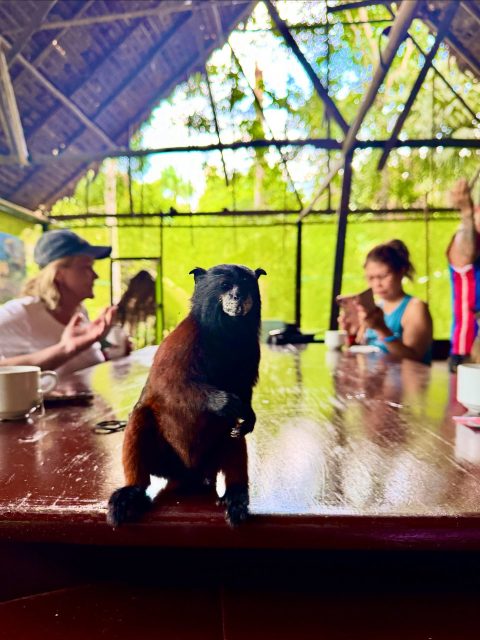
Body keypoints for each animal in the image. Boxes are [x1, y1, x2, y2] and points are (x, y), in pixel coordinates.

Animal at [107, 264, 266, 527]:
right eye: (225, 286)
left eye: (245, 285)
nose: (238, 297)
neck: (226, 335)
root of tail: (191, 473)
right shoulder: (181, 342)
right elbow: (169, 387)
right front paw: (222, 402)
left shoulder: (251, 349)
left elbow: (244, 396)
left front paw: (249, 416)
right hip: (166, 462)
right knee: (140, 415)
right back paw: (132, 493)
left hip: (210, 461)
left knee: (232, 433)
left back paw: (236, 495)